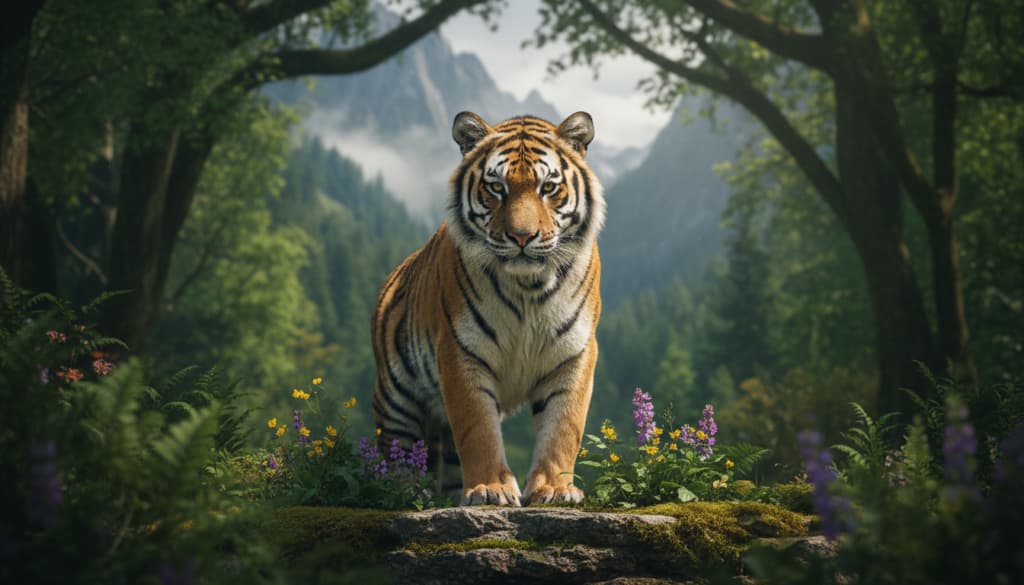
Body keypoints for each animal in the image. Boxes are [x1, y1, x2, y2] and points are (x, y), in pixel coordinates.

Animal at [370, 110, 605, 506]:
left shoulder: (574, 352)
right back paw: (404, 493)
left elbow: (563, 427)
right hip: (396, 400)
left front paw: (554, 489)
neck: (529, 287)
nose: (522, 237)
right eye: (496, 188)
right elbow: (478, 429)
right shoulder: (460, 350)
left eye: (548, 188)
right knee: (397, 452)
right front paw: (490, 489)